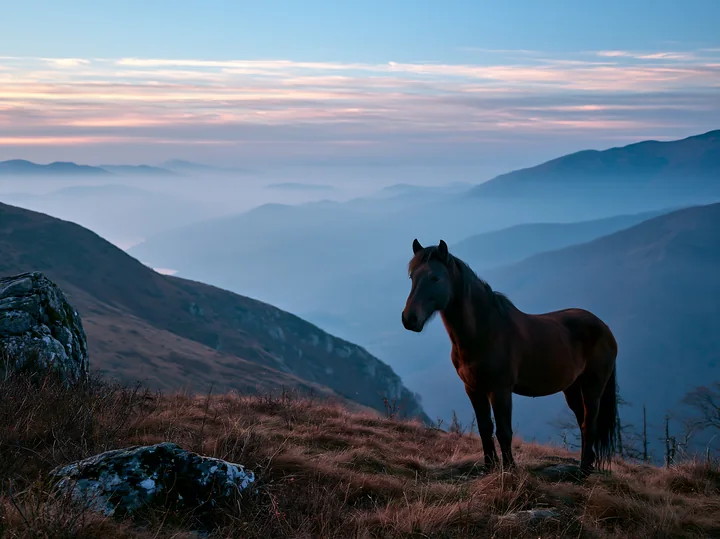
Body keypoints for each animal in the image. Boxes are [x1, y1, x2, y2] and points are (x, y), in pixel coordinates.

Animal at [401, 239, 618, 475]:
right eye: (412, 277)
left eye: (435, 277)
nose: (409, 319)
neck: (484, 332)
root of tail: (604, 328)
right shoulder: (473, 388)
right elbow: (485, 428)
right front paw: (490, 467)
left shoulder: (500, 390)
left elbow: (504, 431)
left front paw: (509, 470)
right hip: (571, 387)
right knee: (582, 421)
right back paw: (585, 464)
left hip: (593, 386)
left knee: (590, 423)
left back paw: (584, 470)